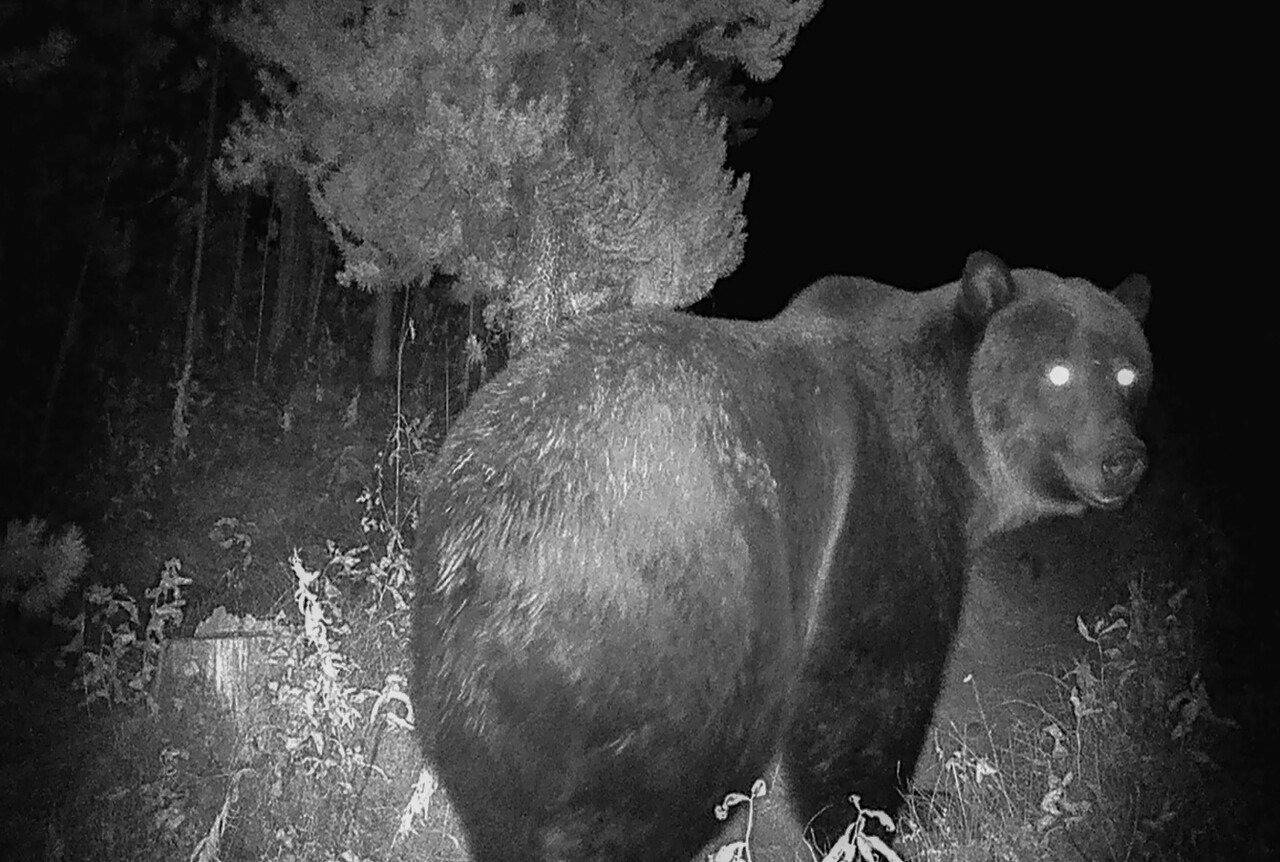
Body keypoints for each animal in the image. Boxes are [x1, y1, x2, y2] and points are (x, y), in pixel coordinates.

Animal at [409, 251, 1152, 860]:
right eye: (1058, 372)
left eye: (1128, 372)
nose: (1123, 459)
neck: (959, 445)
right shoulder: (882, 490)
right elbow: (869, 676)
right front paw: (871, 821)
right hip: (674, 613)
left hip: (465, 673)